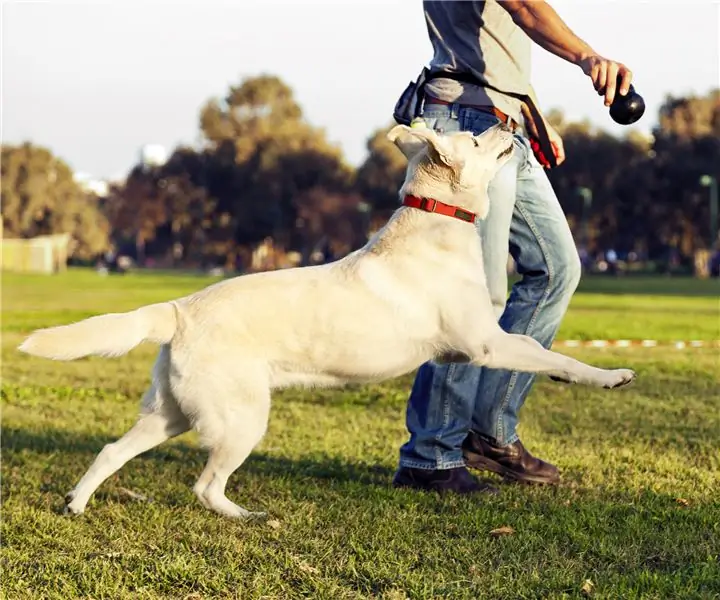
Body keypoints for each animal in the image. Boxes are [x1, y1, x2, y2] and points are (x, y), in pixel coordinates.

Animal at [19, 123, 632, 520]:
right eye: (477, 139)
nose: (510, 123)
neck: (437, 221)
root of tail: (178, 309)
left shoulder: (476, 347)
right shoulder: (485, 343)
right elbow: (549, 353)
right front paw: (608, 377)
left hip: (170, 414)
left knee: (111, 450)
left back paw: (76, 504)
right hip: (241, 419)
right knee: (204, 485)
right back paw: (245, 516)